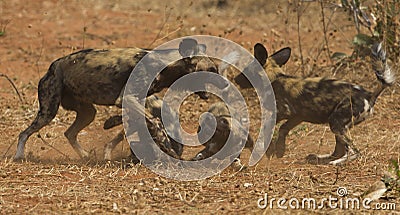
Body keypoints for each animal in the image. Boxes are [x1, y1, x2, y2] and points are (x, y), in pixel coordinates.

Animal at [15, 37, 222, 160]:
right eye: (211, 70)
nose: (225, 84)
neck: (165, 65)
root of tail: (52, 66)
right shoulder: (127, 98)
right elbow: (156, 122)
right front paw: (168, 149)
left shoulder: (134, 102)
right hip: (48, 112)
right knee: (23, 133)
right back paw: (19, 156)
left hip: (87, 113)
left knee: (69, 133)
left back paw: (86, 156)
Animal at [234, 42, 394, 165]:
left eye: (246, 71)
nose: (236, 79)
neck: (274, 78)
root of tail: (369, 95)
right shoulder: (298, 116)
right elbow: (283, 129)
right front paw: (279, 150)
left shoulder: (283, 111)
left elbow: (269, 128)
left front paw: (269, 150)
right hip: (338, 125)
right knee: (339, 150)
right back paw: (321, 158)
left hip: (336, 122)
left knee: (354, 151)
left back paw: (336, 162)